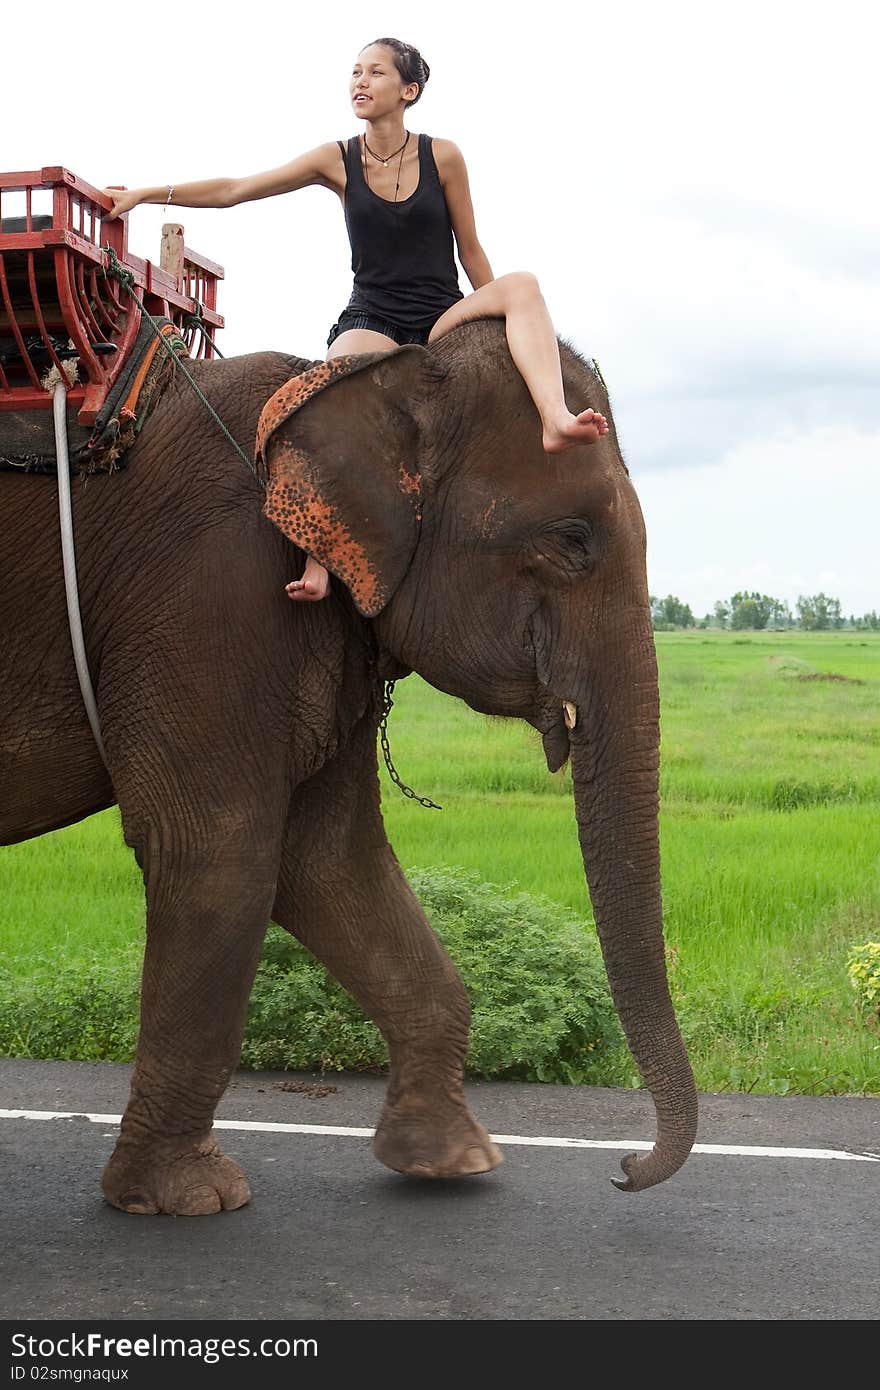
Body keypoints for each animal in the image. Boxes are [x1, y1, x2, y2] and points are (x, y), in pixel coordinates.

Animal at [1, 319, 700, 1212]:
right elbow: (218, 853)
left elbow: (331, 859)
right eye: (573, 541)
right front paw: (189, 1199)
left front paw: (452, 1161)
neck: (367, 381)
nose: (625, 1169)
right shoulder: (207, 592)